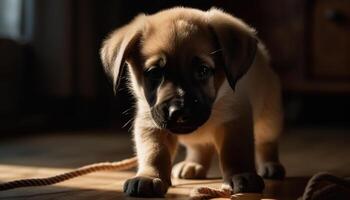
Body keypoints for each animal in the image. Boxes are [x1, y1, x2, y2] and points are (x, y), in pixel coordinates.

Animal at [99, 6, 284, 197]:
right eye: (154, 73)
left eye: (202, 70)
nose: (178, 111)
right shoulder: (150, 122)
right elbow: (154, 152)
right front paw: (149, 177)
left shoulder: (234, 119)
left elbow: (235, 151)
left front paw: (240, 174)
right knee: (201, 147)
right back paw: (193, 165)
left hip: (268, 119)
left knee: (267, 143)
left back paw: (271, 165)